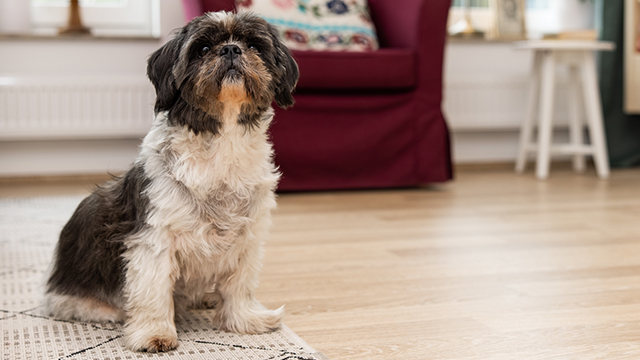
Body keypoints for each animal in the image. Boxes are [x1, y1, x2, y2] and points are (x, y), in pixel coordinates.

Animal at [43, 10, 298, 352]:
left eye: (254, 45)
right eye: (202, 49)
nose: (231, 49)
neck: (221, 145)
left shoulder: (248, 236)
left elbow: (239, 284)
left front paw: (244, 320)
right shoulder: (154, 240)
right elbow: (153, 291)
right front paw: (155, 332)